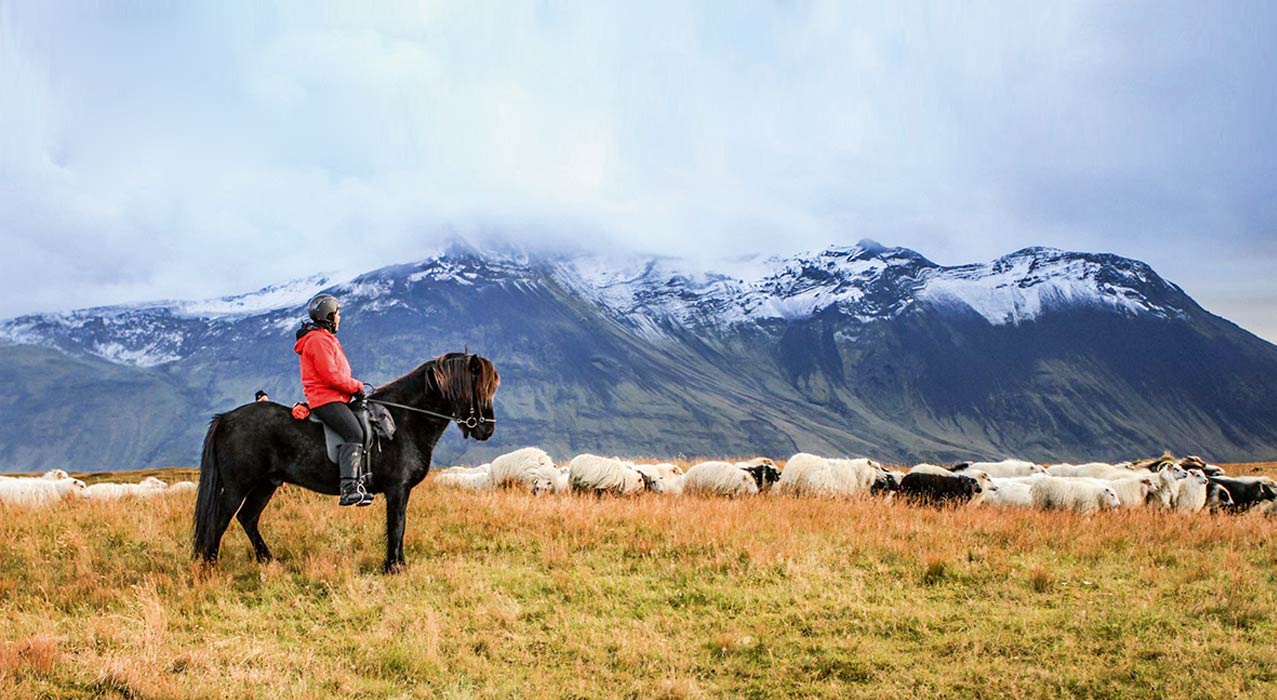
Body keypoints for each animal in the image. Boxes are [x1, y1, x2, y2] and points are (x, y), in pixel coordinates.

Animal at [191, 352, 495, 572]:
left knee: (247, 517)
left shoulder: (400, 490)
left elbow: (400, 525)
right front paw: (393, 568)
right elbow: (396, 525)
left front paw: (398, 564)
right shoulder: (397, 488)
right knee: (220, 521)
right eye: (478, 389)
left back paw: (268, 560)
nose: (487, 429)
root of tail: (225, 418)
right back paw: (209, 567)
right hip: (237, 487)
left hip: (266, 485)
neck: (405, 420)